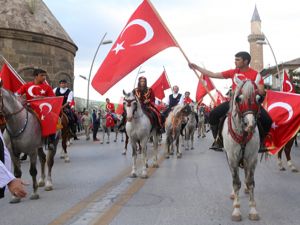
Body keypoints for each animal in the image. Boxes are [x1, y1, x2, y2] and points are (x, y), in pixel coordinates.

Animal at [223, 74, 262, 221]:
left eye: (259, 98)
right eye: (239, 98)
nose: (249, 124)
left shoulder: (252, 158)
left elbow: (250, 182)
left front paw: (253, 210)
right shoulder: (232, 158)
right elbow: (236, 182)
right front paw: (236, 210)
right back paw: (234, 194)